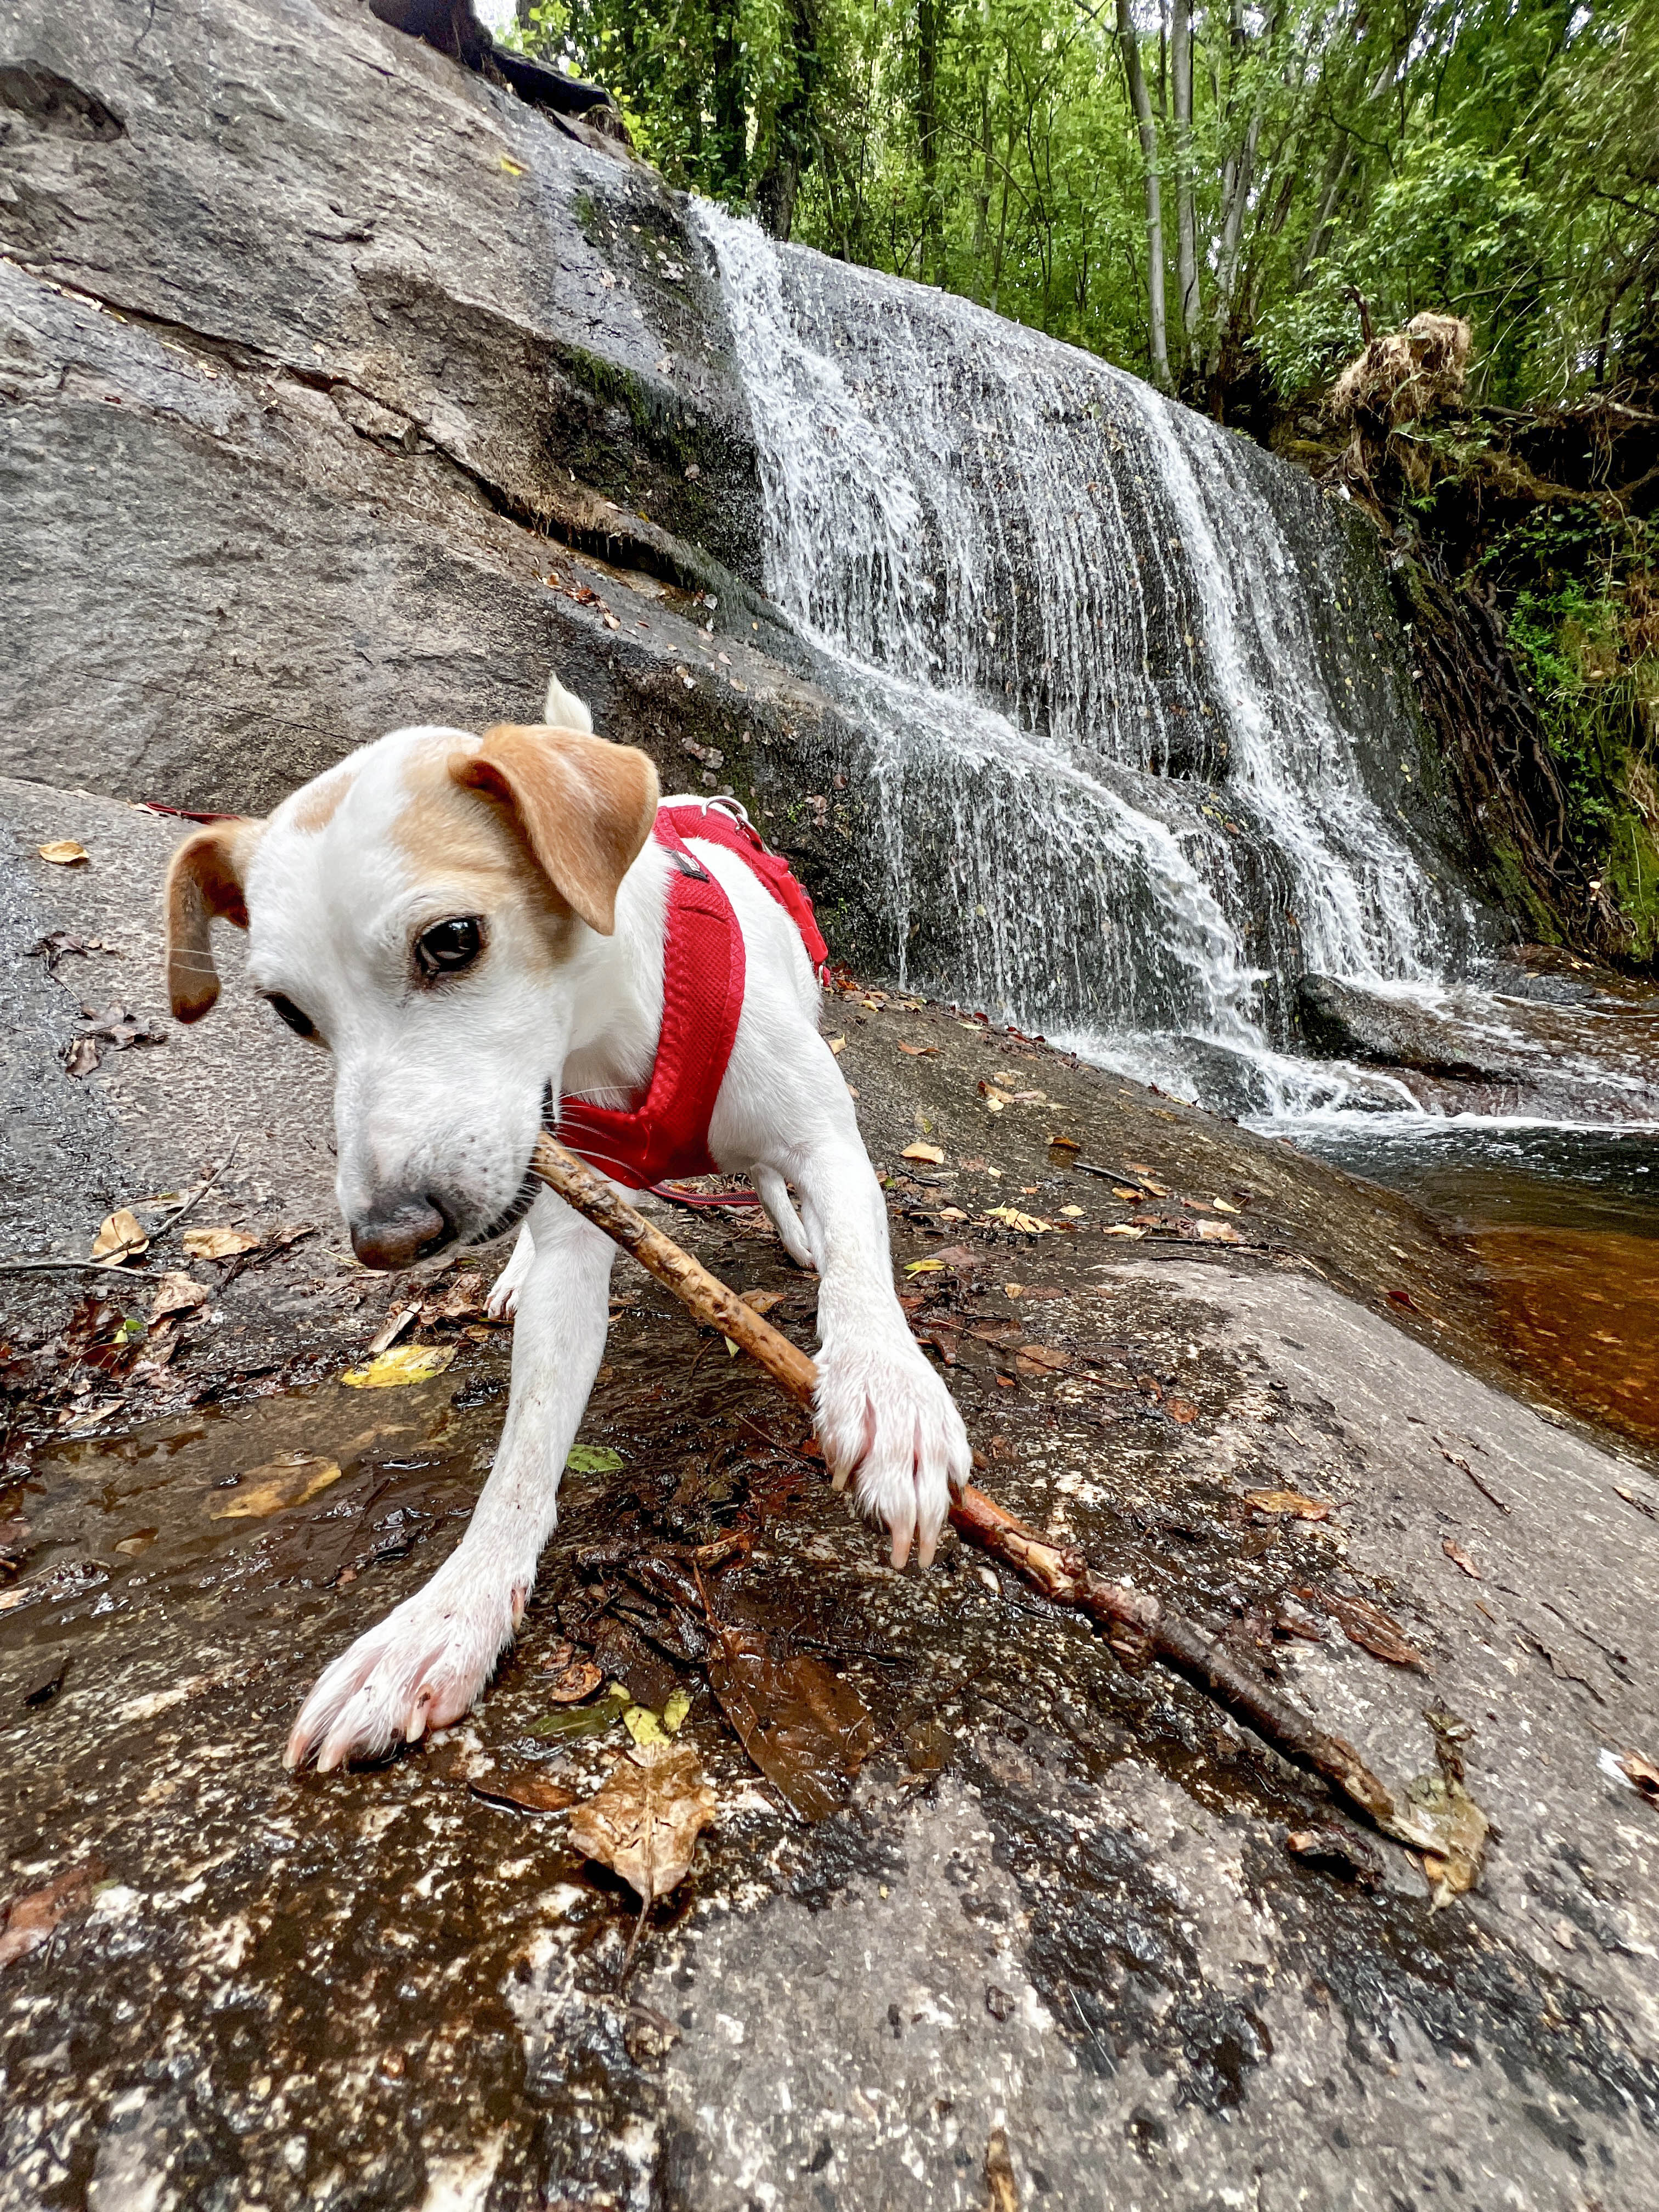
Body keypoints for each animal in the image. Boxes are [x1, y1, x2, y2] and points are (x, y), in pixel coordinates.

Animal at [166, 672, 973, 1760]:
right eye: (293, 1014)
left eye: (451, 939)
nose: (388, 1236)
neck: (615, 1023)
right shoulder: (574, 1219)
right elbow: (525, 1445)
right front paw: (450, 1609)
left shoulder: (826, 1141)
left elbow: (854, 1254)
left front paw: (889, 1387)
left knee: (772, 1179)